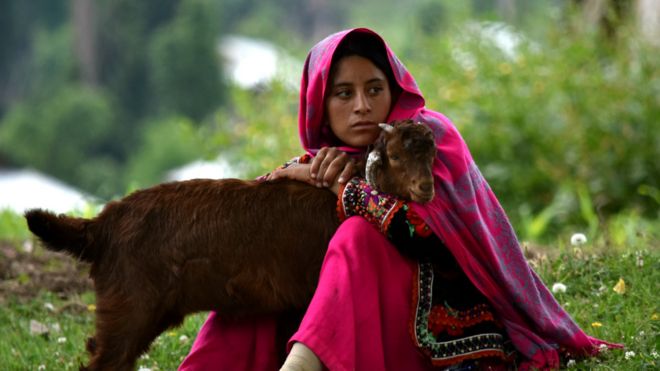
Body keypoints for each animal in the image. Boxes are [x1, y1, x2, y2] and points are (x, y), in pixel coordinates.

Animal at [24, 120, 438, 371]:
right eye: (395, 155)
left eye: (432, 155)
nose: (426, 188)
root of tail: (102, 224)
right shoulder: (306, 289)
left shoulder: (292, 301)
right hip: (128, 304)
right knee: (105, 359)